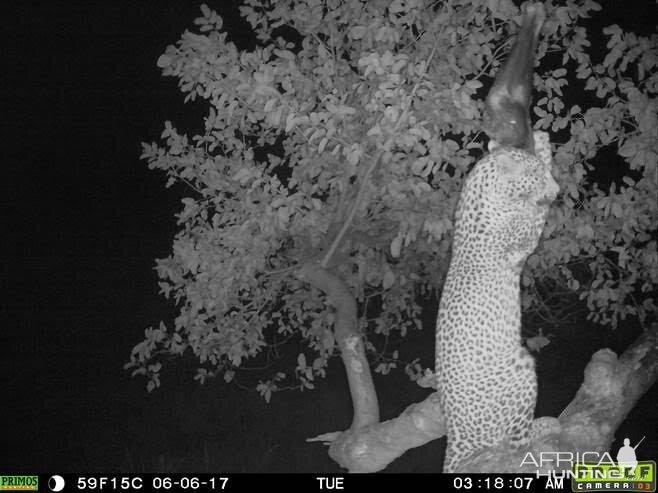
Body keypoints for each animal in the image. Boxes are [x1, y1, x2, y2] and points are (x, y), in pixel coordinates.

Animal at [434, 129, 556, 470]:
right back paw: (545, 425)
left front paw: (541, 143)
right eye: (536, 175)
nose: (555, 190)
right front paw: (545, 155)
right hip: (521, 366)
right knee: (515, 442)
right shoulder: (525, 234)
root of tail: (456, 439)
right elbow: (537, 212)